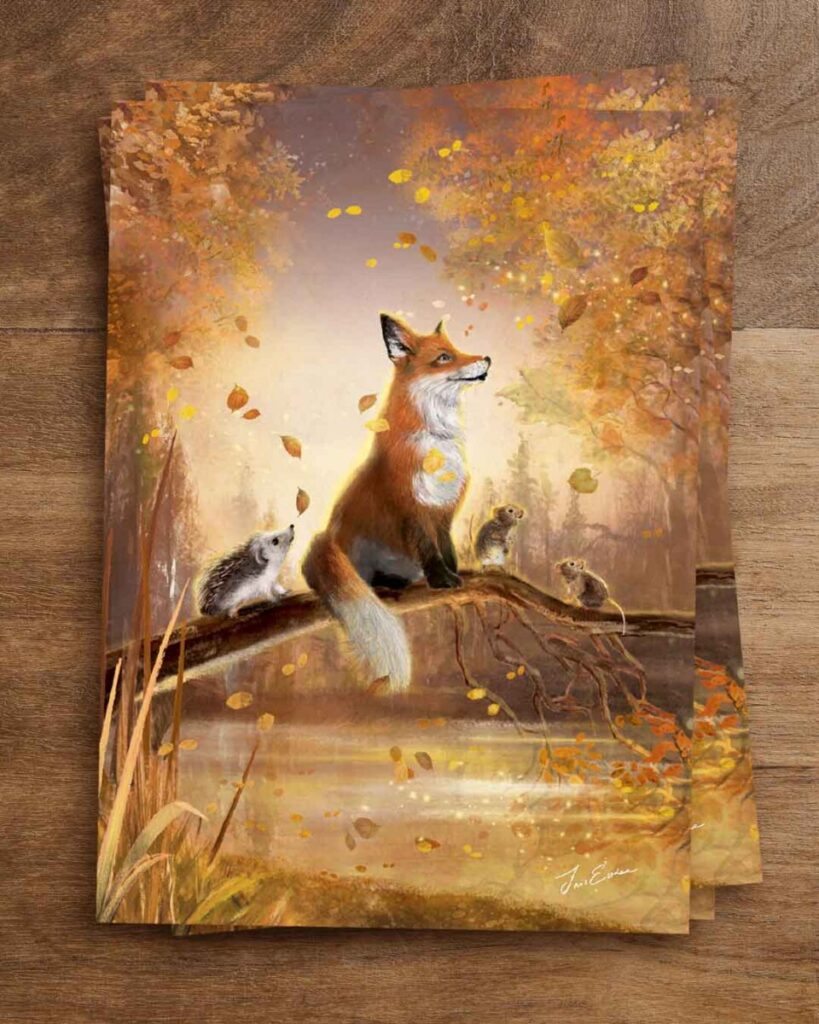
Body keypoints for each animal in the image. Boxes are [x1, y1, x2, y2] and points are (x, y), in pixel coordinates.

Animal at [303, 313, 491, 693]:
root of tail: (327, 541)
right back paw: (384, 584)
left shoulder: (443, 512)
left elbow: (446, 549)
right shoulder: (412, 510)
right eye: (444, 357)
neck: (437, 443)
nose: (488, 359)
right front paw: (442, 580)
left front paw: (454, 574)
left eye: (457, 350)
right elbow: (430, 551)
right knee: (367, 576)